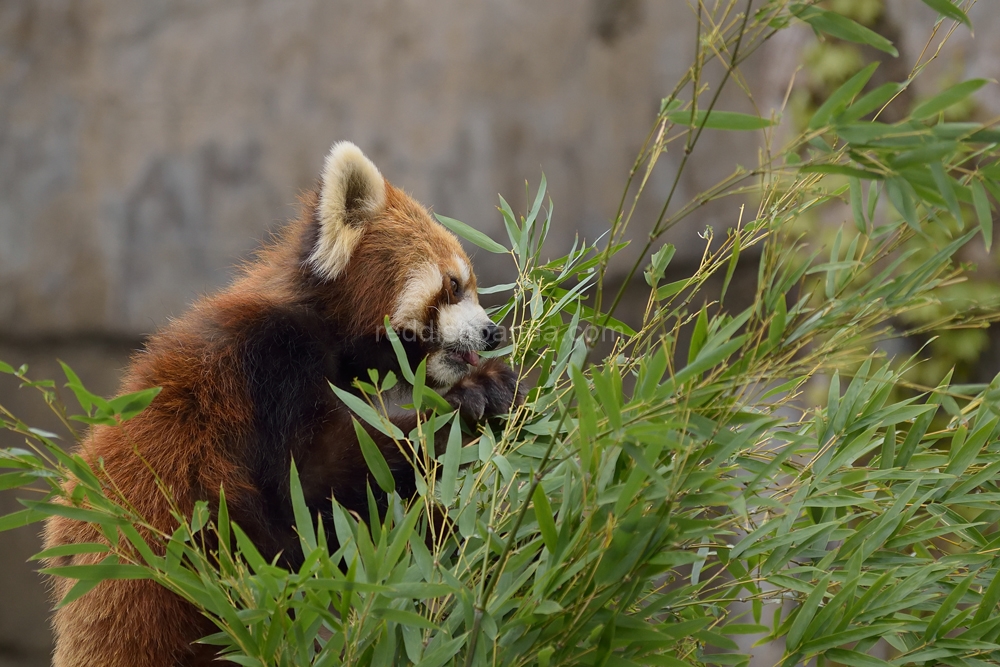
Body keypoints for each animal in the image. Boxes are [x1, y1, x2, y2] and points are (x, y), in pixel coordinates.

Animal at [43, 142, 520, 667]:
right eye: (454, 286)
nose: (492, 333)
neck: (327, 326)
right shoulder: (265, 371)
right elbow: (315, 486)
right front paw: (470, 397)